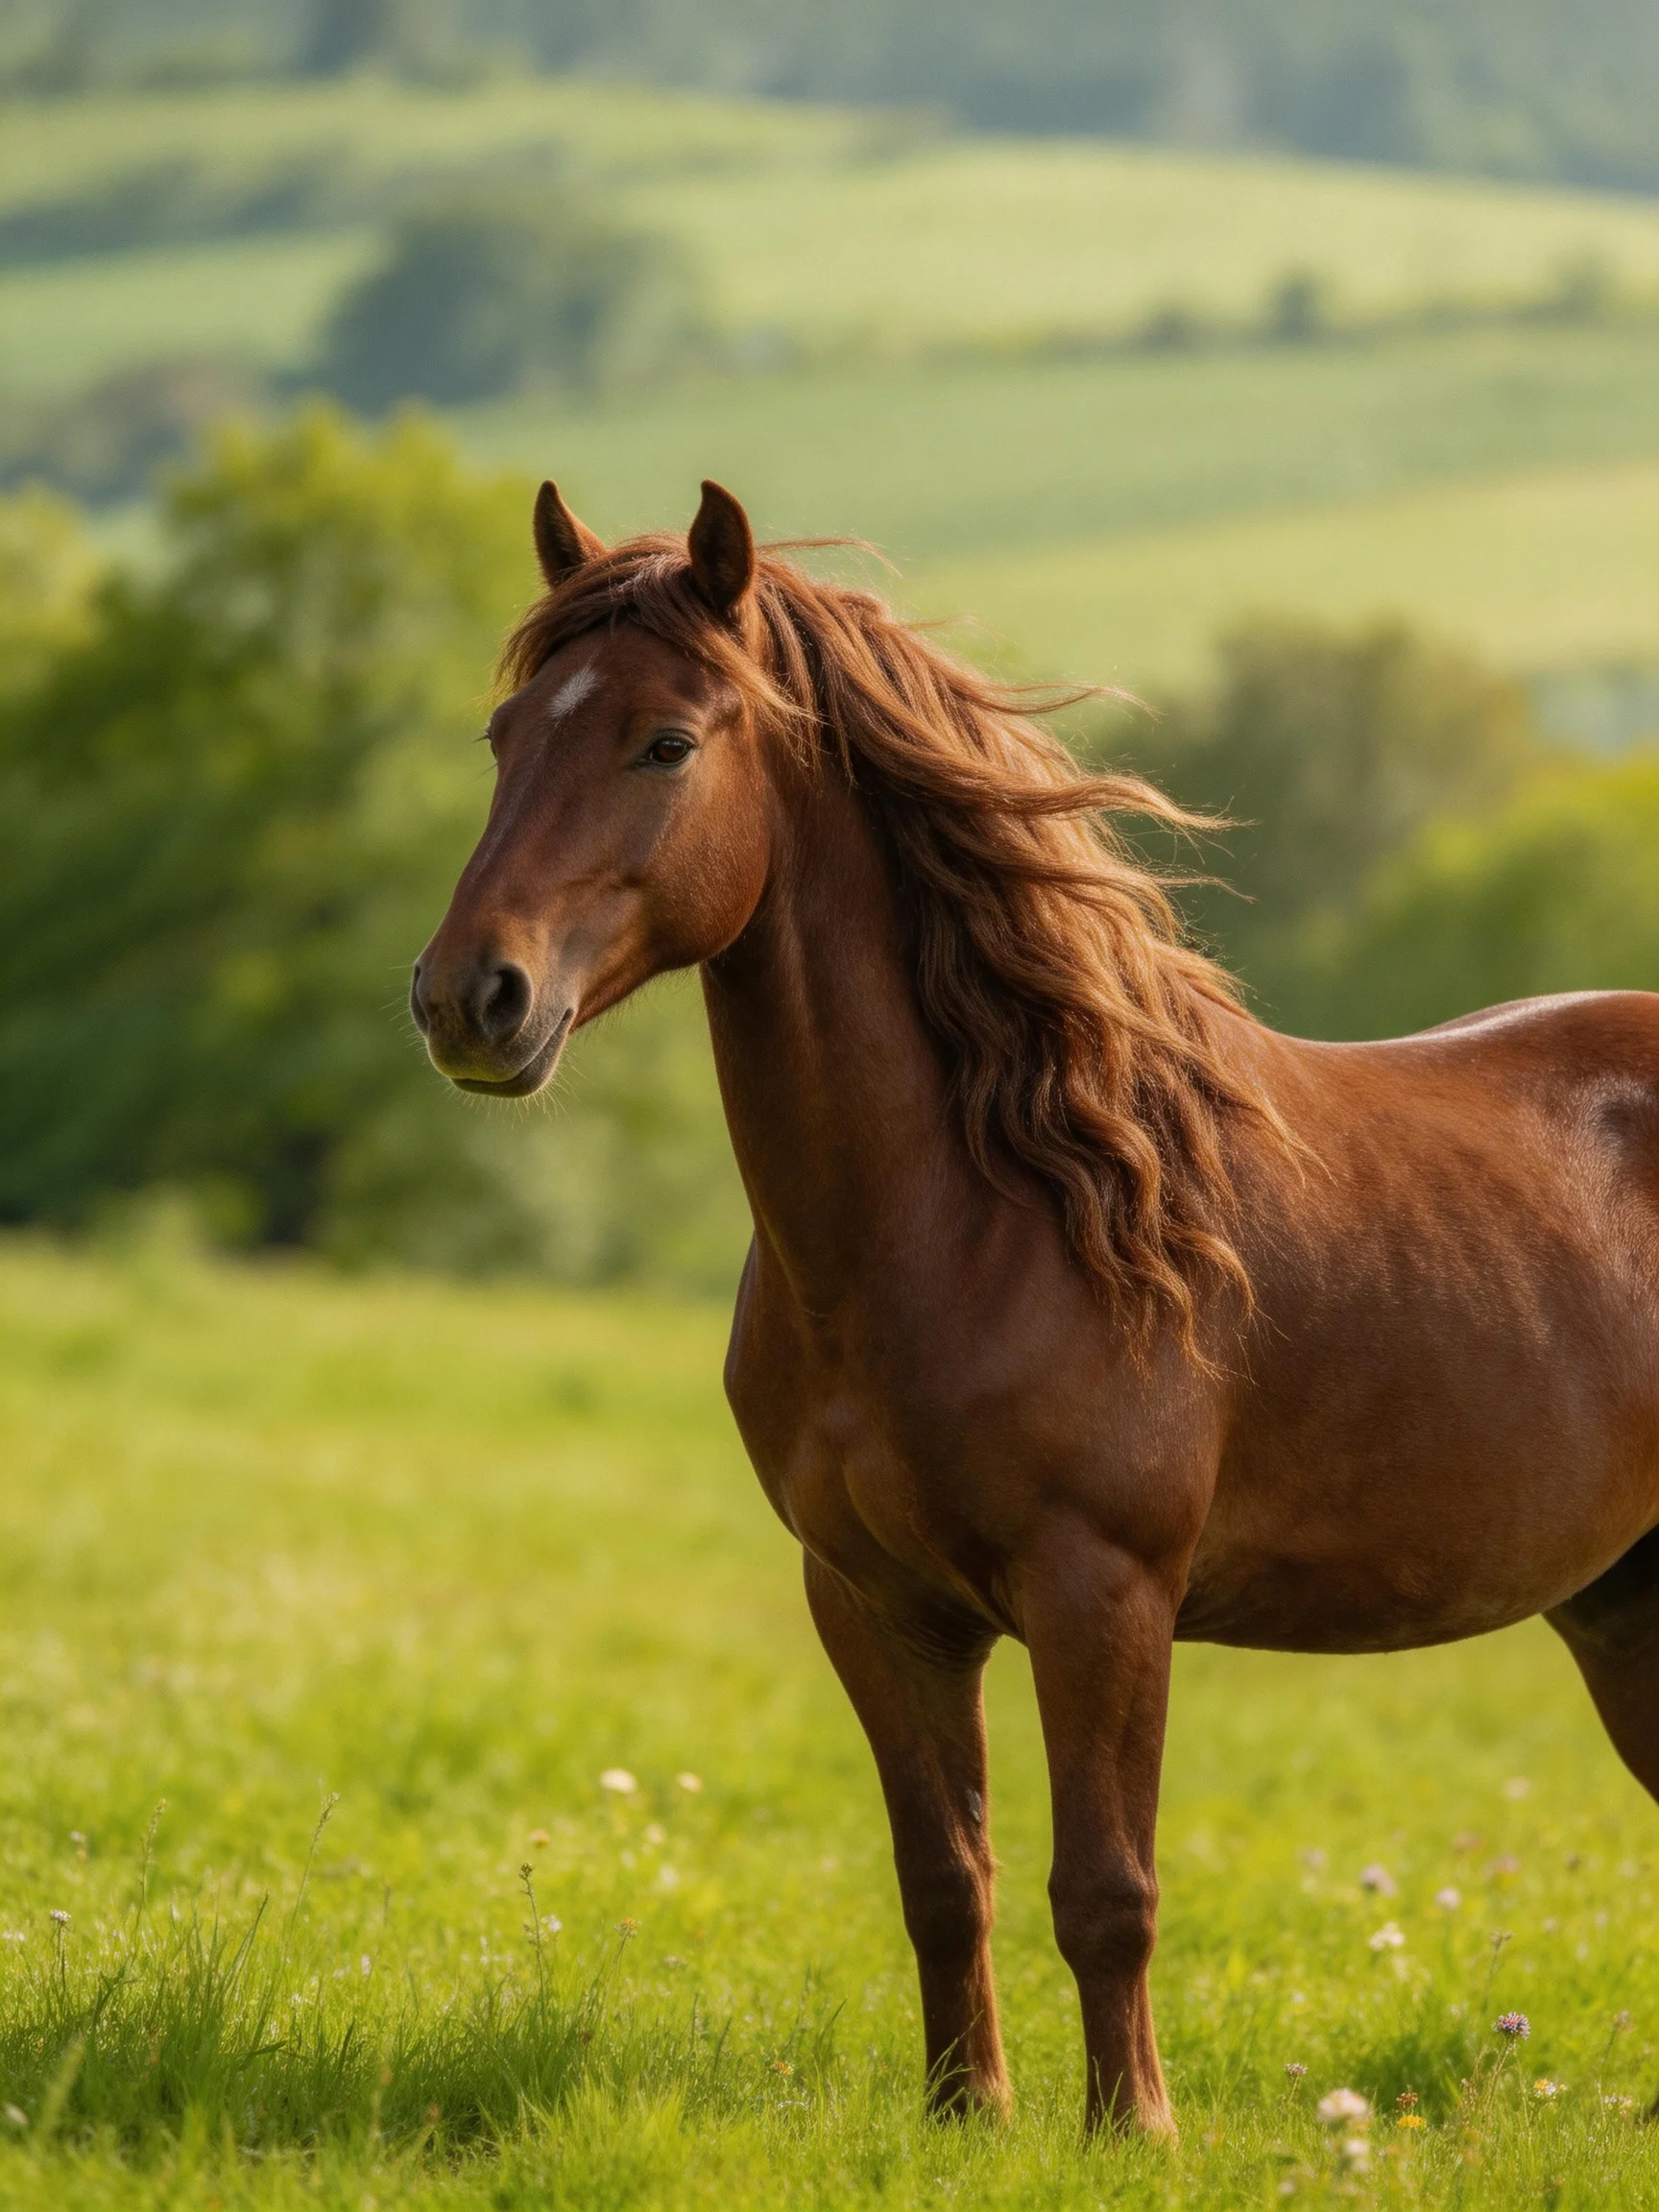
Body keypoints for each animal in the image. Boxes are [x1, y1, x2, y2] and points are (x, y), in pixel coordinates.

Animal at [411, 478, 1659, 2136]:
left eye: (665, 742)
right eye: (504, 737)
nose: (466, 999)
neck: (986, 1214)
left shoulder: (1102, 1593)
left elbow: (1106, 1888)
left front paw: (1132, 2127)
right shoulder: (877, 1605)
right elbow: (947, 1877)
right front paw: (970, 2116)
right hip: (1630, 1610)